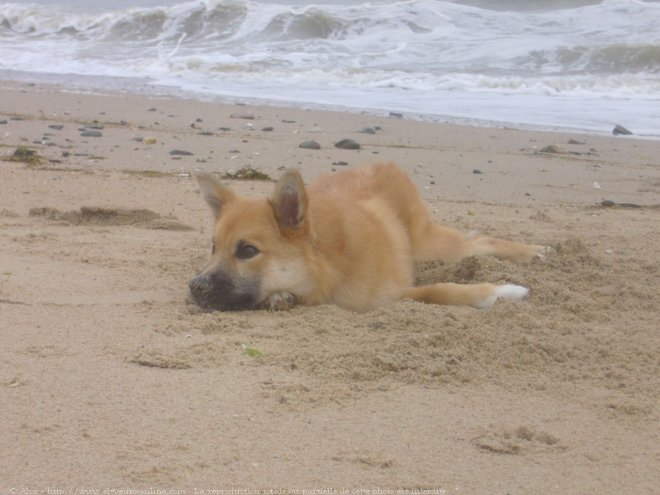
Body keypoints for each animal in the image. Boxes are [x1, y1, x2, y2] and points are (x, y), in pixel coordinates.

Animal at [188, 163, 548, 312]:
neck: (330, 263)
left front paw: (503, 291)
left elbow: (438, 290)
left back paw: (533, 251)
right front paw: (279, 298)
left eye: (248, 250)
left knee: (479, 243)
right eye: (213, 248)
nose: (195, 286)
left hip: (433, 246)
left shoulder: (385, 293)